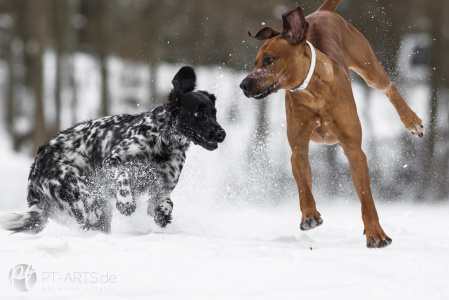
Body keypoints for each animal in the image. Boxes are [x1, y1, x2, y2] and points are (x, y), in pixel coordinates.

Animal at [0, 66, 224, 234]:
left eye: (214, 113)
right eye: (198, 113)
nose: (221, 133)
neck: (163, 145)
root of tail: (36, 166)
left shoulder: (161, 187)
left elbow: (165, 202)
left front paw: (163, 213)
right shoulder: (113, 161)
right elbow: (123, 175)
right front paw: (126, 201)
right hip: (88, 201)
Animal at [238, 0, 424, 248]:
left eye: (269, 59)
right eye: (255, 63)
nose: (243, 85)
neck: (312, 93)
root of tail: (322, 11)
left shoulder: (354, 150)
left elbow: (366, 198)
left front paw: (376, 234)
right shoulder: (298, 149)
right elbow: (303, 185)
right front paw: (309, 215)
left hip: (367, 63)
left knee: (388, 87)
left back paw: (411, 120)